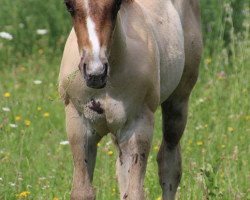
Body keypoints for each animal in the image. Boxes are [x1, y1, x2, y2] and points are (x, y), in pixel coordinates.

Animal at [59, 0, 203, 199]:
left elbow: (135, 192)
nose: (95, 73)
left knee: (169, 165)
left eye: (116, 5)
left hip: (178, 102)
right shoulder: (78, 124)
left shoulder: (138, 126)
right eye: (69, 6)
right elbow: (83, 192)